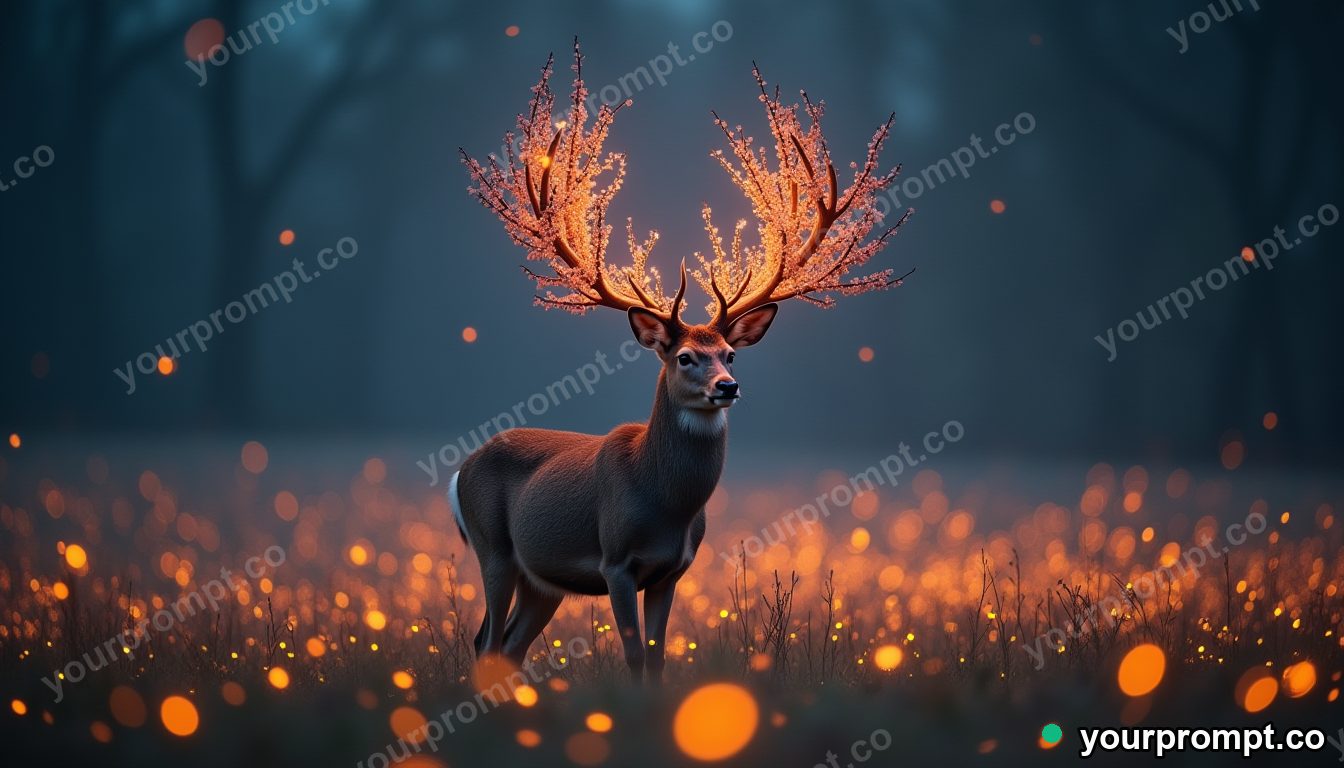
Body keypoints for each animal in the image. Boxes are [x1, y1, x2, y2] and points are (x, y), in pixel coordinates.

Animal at [453, 43, 912, 684]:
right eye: (686, 356)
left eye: (731, 353)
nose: (728, 386)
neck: (664, 500)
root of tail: (461, 468)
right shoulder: (616, 561)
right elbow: (630, 655)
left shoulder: (671, 571)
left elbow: (657, 657)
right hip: (494, 549)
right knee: (485, 639)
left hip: (543, 580)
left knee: (509, 645)